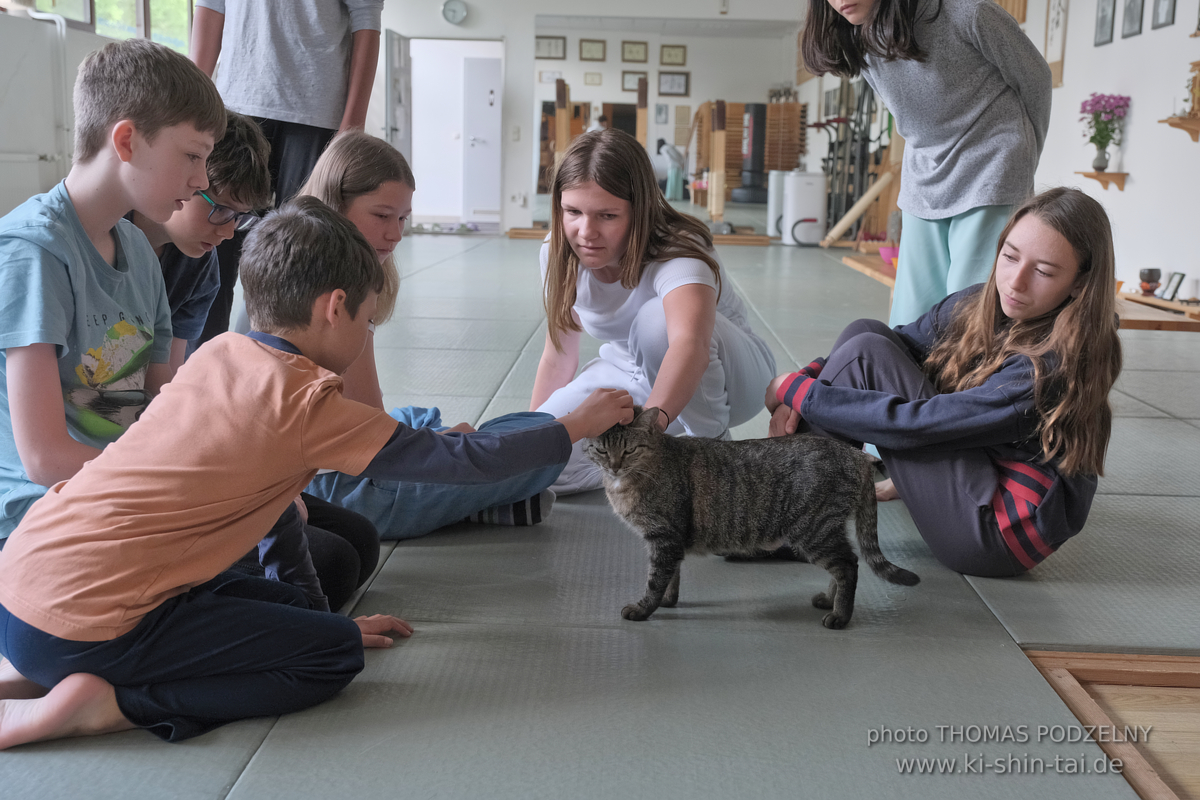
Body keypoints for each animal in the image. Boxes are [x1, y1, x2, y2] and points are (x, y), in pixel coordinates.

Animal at [588, 410, 916, 628]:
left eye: (629, 450)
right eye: (601, 450)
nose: (614, 466)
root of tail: (856, 455)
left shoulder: (664, 537)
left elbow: (656, 580)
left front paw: (643, 609)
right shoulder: (669, 539)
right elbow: (670, 578)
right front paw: (669, 601)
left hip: (814, 530)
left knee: (849, 565)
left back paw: (840, 615)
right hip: (828, 530)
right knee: (847, 562)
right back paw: (829, 598)